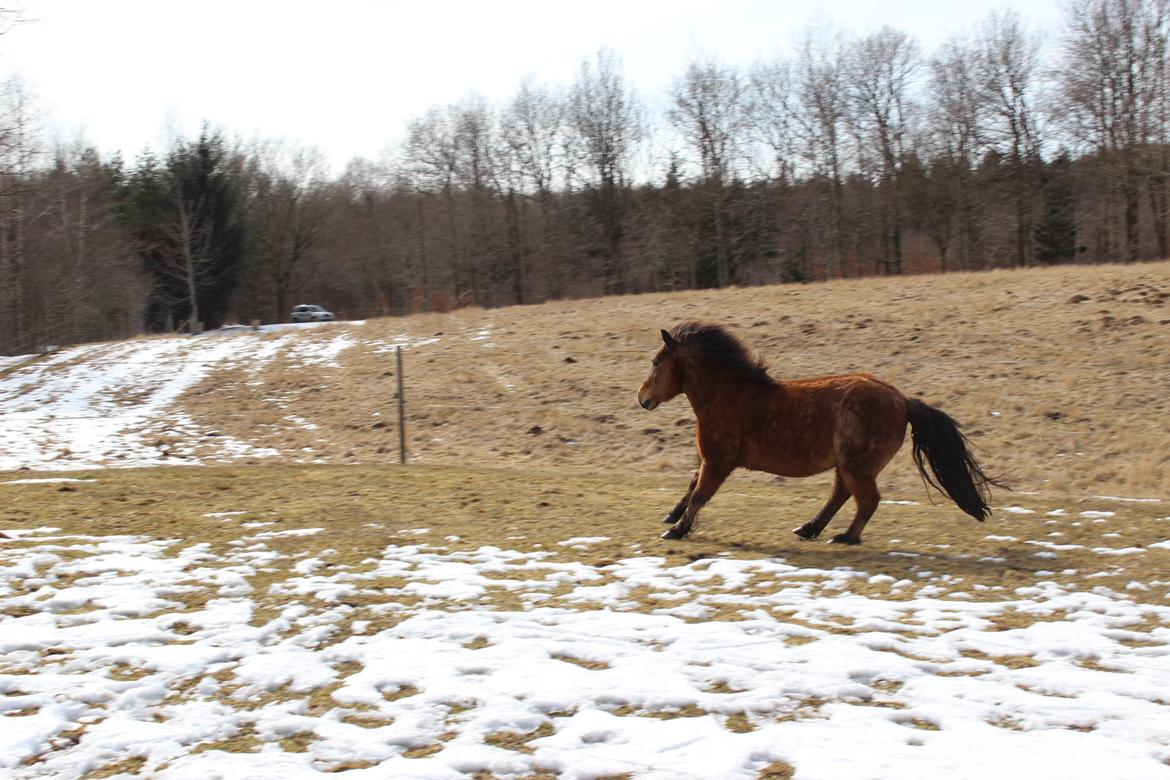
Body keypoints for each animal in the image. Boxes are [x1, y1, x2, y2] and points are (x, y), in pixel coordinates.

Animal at [636, 320, 1001, 547]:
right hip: (847, 465)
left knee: (867, 500)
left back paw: (844, 537)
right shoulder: (712, 459)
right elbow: (692, 485)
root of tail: (902, 399)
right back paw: (809, 528)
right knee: (841, 496)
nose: (642, 398)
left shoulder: (719, 460)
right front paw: (672, 516)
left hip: (857, 466)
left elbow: (700, 493)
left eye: (656, 362)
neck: (728, 395)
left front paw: (678, 530)